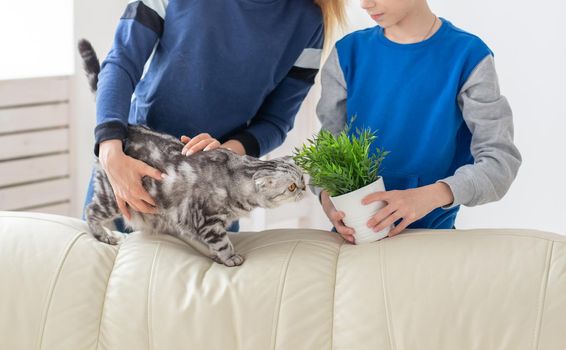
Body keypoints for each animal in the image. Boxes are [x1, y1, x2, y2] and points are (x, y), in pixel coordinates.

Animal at [80, 39, 306, 266]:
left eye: (302, 178)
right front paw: (230, 257)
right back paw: (105, 235)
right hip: (114, 197)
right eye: (292, 187)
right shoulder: (207, 220)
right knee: (91, 211)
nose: (305, 189)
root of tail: (126, 126)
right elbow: (222, 242)